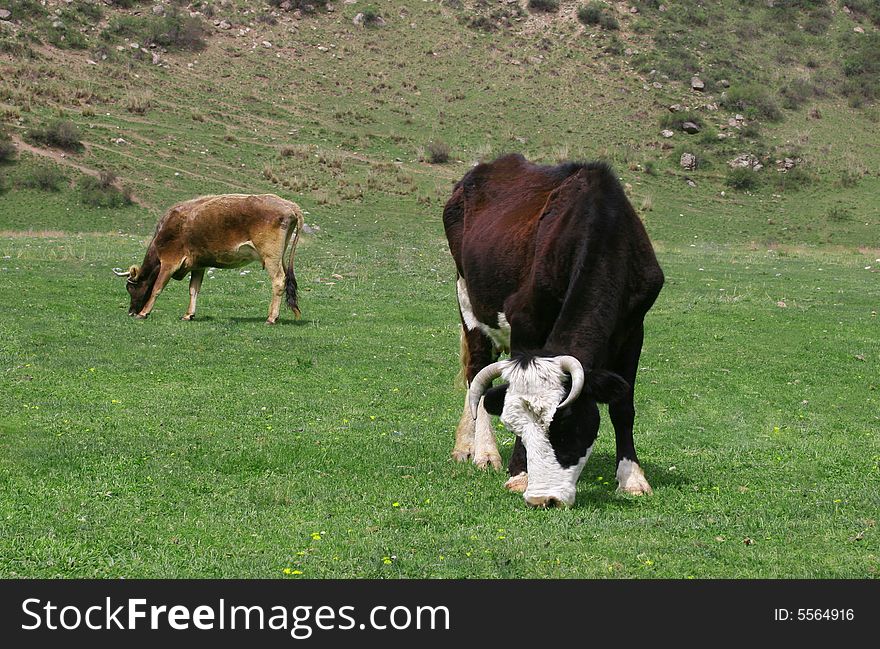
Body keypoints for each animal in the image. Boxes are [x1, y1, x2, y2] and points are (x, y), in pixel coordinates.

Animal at [114, 192, 306, 324]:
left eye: (130, 288)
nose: (131, 312)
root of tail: (289, 205)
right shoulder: (198, 265)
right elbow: (193, 289)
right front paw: (188, 314)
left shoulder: (169, 262)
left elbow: (157, 288)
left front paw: (143, 313)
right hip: (280, 257)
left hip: (270, 256)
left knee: (279, 281)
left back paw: (271, 318)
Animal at [444, 156, 664, 506]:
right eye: (515, 427)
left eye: (566, 425)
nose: (542, 498)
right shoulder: (524, 320)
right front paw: (519, 474)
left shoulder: (633, 329)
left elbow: (623, 406)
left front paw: (632, 478)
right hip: (468, 300)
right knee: (476, 372)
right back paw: (484, 452)